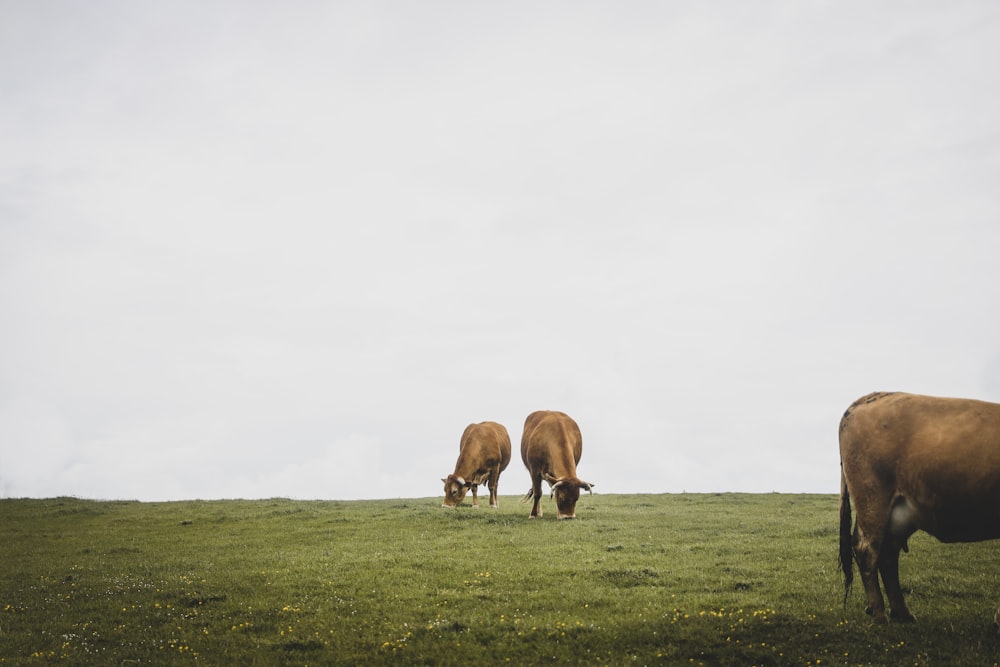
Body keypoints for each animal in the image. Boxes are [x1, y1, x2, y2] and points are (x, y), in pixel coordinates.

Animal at [836, 394, 1000, 624]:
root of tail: (870, 398)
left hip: (897, 514)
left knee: (887, 554)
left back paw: (901, 613)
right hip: (873, 501)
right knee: (867, 550)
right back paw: (879, 613)